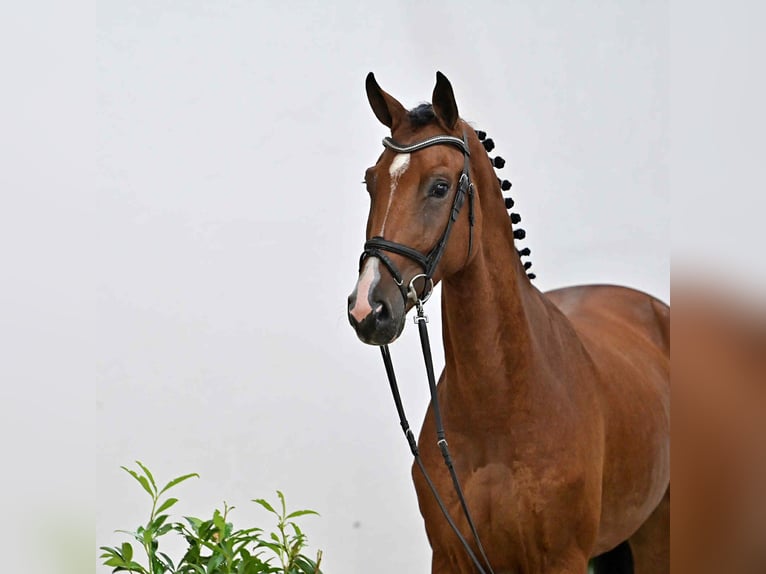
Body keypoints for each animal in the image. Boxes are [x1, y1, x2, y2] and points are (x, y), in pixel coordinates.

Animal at [346, 72, 670, 573]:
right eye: (370, 182)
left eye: (440, 187)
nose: (368, 308)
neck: (499, 408)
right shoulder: (451, 556)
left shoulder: (563, 560)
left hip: (658, 533)